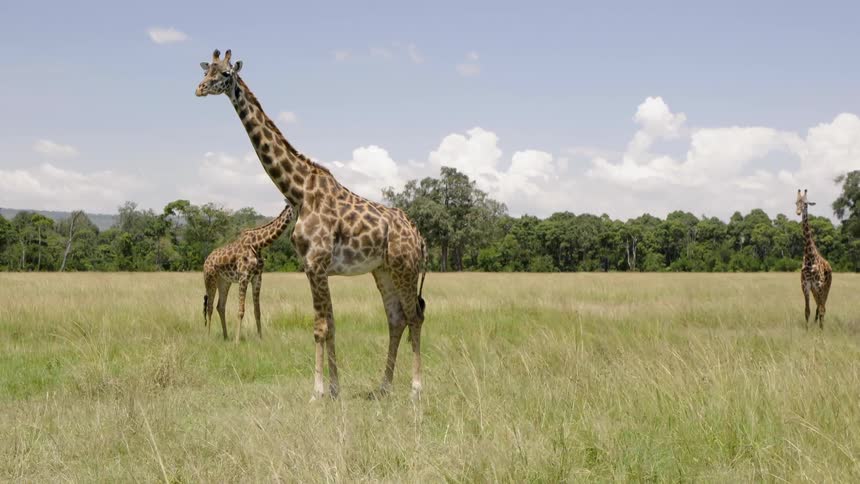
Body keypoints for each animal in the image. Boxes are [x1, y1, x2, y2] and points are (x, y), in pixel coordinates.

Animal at [203, 202, 294, 342]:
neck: (258, 243)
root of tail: (206, 259)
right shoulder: (244, 277)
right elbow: (241, 310)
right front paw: (237, 341)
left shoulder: (257, 277)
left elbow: (257, 310)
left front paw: (260, 338)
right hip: (210, 278)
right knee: (210, 306)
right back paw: (208, 337)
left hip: (224, 281)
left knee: (221, 306)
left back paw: (226, 336)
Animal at [796, 189, 833, 330]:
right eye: (796, 202)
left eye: (806, 203)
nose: (798, 212)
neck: (810, 256)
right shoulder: (806, 285)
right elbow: (807, 311)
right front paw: (807, 330)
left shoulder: (819, 285)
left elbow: (821, 309)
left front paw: (821, 332)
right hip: (815, 290)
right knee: (818, 306)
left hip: (826, 287)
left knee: (823, 307)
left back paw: (821, 326)